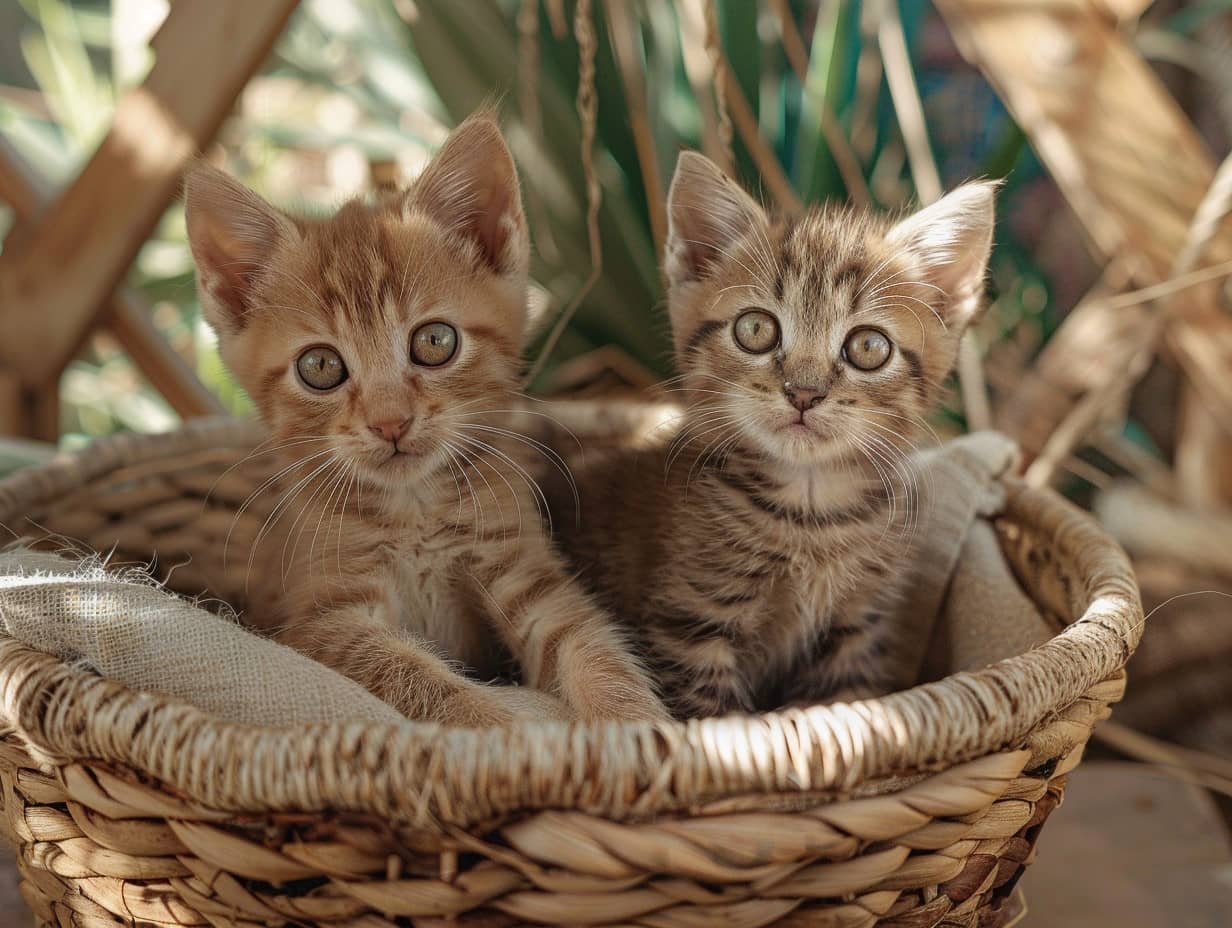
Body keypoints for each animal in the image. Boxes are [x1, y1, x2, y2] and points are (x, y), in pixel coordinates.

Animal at [184, 113, 665, 724]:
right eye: (320, 366)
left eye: (435, 342)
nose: (390, 423)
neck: (415, 511)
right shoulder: (322, 623)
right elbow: (409, 674)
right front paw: (498, 727)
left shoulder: (527, 577)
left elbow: (592, 645)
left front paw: (635, 724)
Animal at [544, 154, 995, 714]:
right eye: (755, 330)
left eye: (869, 346)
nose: (803, 393)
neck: (809, 513)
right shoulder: (689, 628)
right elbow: (721, 724)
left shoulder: (855, 631)